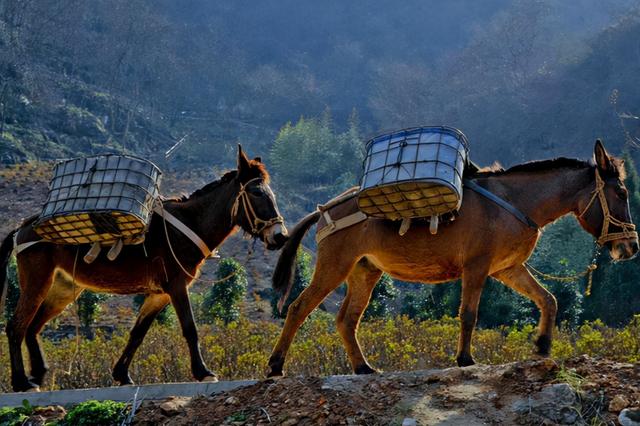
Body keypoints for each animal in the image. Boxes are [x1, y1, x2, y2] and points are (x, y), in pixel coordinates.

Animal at [0, 146, 286, 392]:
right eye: (257, 193)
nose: (280, 236)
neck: (189, 224)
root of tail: (23, 226)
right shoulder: (176, 286)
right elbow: (190, 328)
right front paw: (203, 372)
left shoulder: (159, 294)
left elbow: (137, 333)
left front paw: (122, 375)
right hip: (37, 281)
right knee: (16, 326)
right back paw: (21, 382)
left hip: (63, 289)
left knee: (33, 326)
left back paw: (37, 374)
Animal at [268, 140, 636, 376]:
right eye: (621, 192)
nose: (631, 246)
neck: (516, 202)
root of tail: (325, 209)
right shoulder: (478, 266)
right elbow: (469, 314)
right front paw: (465, 359)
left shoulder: (507, 269)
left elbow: (548, 300)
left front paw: (543, 346)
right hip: (335, 265)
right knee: (299, 307)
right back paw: (275, 366)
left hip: (365, 271)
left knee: (347, 319)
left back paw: (363, 367)